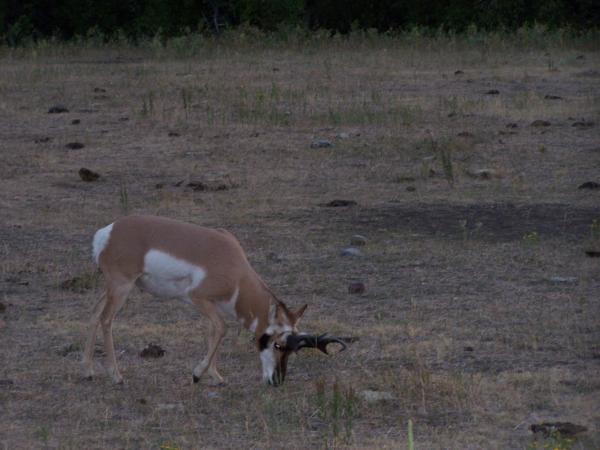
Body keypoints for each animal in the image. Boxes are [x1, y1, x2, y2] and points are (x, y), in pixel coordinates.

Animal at [84, 214, 346, 386]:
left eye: (293, 350)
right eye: (278, 344)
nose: (277, 381)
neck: (232, 265)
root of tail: (109, 231)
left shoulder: (213, 306)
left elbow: (213, 332)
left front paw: (216, 376)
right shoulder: (198, 298)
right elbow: (222, 328)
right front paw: (198, 373)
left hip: (112, 288)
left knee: (94, 314)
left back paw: (88, 371)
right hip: (122, 287)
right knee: (106, 319)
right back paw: (116, 376)